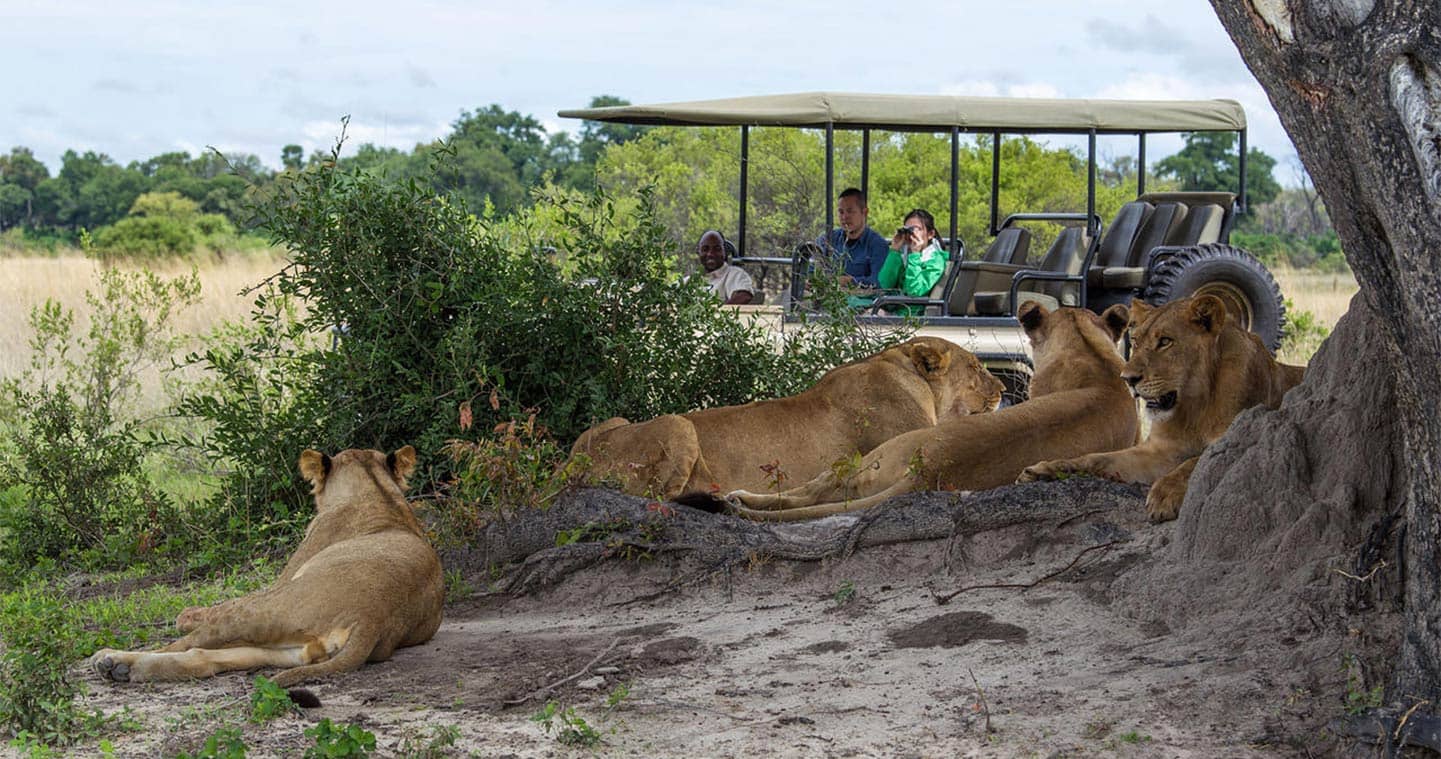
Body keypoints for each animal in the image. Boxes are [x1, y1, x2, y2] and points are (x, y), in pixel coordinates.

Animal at [89, 446, 440, 688]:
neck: (379, 492)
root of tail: (373, 619)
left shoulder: (280, 579)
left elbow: (215, 607)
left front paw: (187, 615)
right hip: (291, 648)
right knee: (203, 658)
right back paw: (123, 669)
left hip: (267, 609)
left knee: (187, 642)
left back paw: (109, 658)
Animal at [564, 337, 1002, 501]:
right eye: (977, 367)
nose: (1002, 388)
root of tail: (566, 469)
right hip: (677, 424)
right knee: (660, 496)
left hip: (611, 421)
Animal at [726, 303, 1141, 524]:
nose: (1003, 391)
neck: (1097, 361)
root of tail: (928, 472)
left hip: (867, 458)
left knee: (810, 493)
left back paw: (738, 498)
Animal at [1020, 295, 1314, 524]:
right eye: (1135, 341)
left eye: (1165, 342)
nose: (1127, 379)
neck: (1195, 405)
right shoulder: (1158, 451)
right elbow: (1097, 458)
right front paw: (1048, 468)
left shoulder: (1236, 439)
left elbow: (1194, 462)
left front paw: (1164, 495)